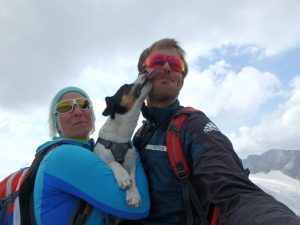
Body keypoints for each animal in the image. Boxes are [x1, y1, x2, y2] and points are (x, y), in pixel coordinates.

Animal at [94, 67, 162, 208]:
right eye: (126, 87)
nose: (144, 70)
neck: (121, 134)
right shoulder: (101, 155)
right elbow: (113, 162)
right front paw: (123, 177)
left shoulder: (131, 163)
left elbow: (132, 176)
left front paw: (133, 195)